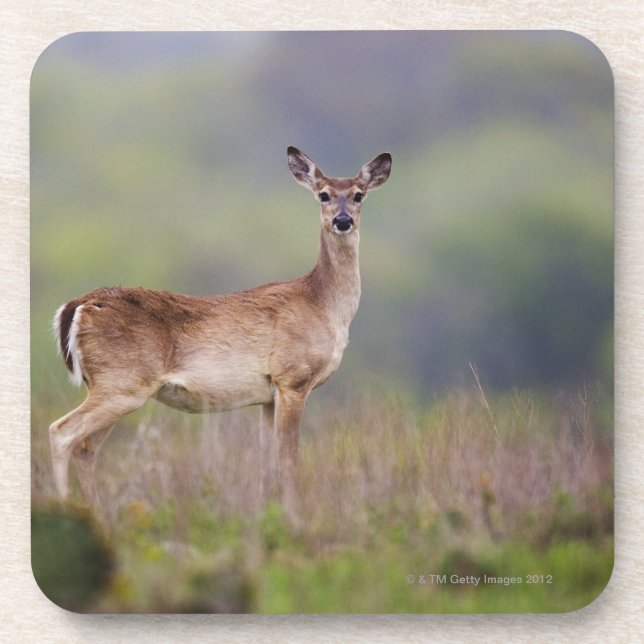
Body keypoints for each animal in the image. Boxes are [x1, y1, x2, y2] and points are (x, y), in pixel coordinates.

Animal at [49, 147, 392, 505]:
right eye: (323, 194)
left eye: (359, 195)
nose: (343, 220)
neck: (323, 304)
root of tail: (79, 305)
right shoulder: (293, 378)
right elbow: (288, 460)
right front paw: (292, 512)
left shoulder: (268, 395)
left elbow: (266, 463)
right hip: (122, 382)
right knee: (62, 432)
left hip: (113, 386)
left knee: (85, 447)